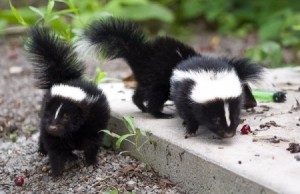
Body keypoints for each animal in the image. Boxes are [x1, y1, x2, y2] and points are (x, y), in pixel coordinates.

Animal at [25, 26, 109, 177]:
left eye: (66, 116)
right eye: (50, 113)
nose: (53, 127)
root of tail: (66, 78)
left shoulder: (93, 121)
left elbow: (92, 142)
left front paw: (91, 161)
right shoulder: (48, 126)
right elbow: (55, 147)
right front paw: (57, 170)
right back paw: (43, 151)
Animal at [77, 17, 262, 138]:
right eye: (247, 91)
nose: (254, 103)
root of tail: (141, 54)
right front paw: (189, 128)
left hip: (147, 79)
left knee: (139, 93)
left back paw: (142, 107)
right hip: (158, 81)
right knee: (154, 97)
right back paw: (159, 113)